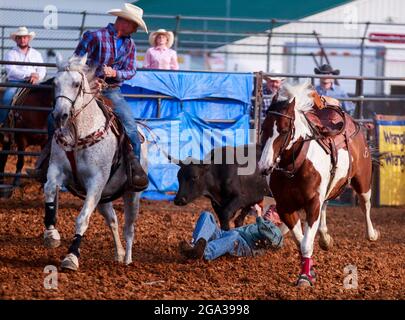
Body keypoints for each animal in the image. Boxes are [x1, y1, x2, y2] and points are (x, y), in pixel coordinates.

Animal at [43, 55, 148, 270]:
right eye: (54, 83)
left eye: (76, 84)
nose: (60, 115)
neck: (78, 133)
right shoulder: (56, 170)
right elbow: (49, 189)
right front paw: (51, 234)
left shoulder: (95, 182)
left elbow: (83, 218)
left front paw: (71, 257)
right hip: (104, 197)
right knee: (113, 220)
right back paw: (119, 253)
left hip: (132, 194)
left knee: (129, 228)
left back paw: (128, 260)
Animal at [258, 81, 378, 286]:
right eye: (263, 128)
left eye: (283, 130)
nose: (265, 166)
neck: (295, 167)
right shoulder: (284, 207)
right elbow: (300, 241)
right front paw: (310, 269)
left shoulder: (312, 203)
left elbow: (306, 243)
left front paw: (305, 277)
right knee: (326, 205)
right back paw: (325, 238)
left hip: (363, 181)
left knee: (365, 205)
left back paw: (371, 234)